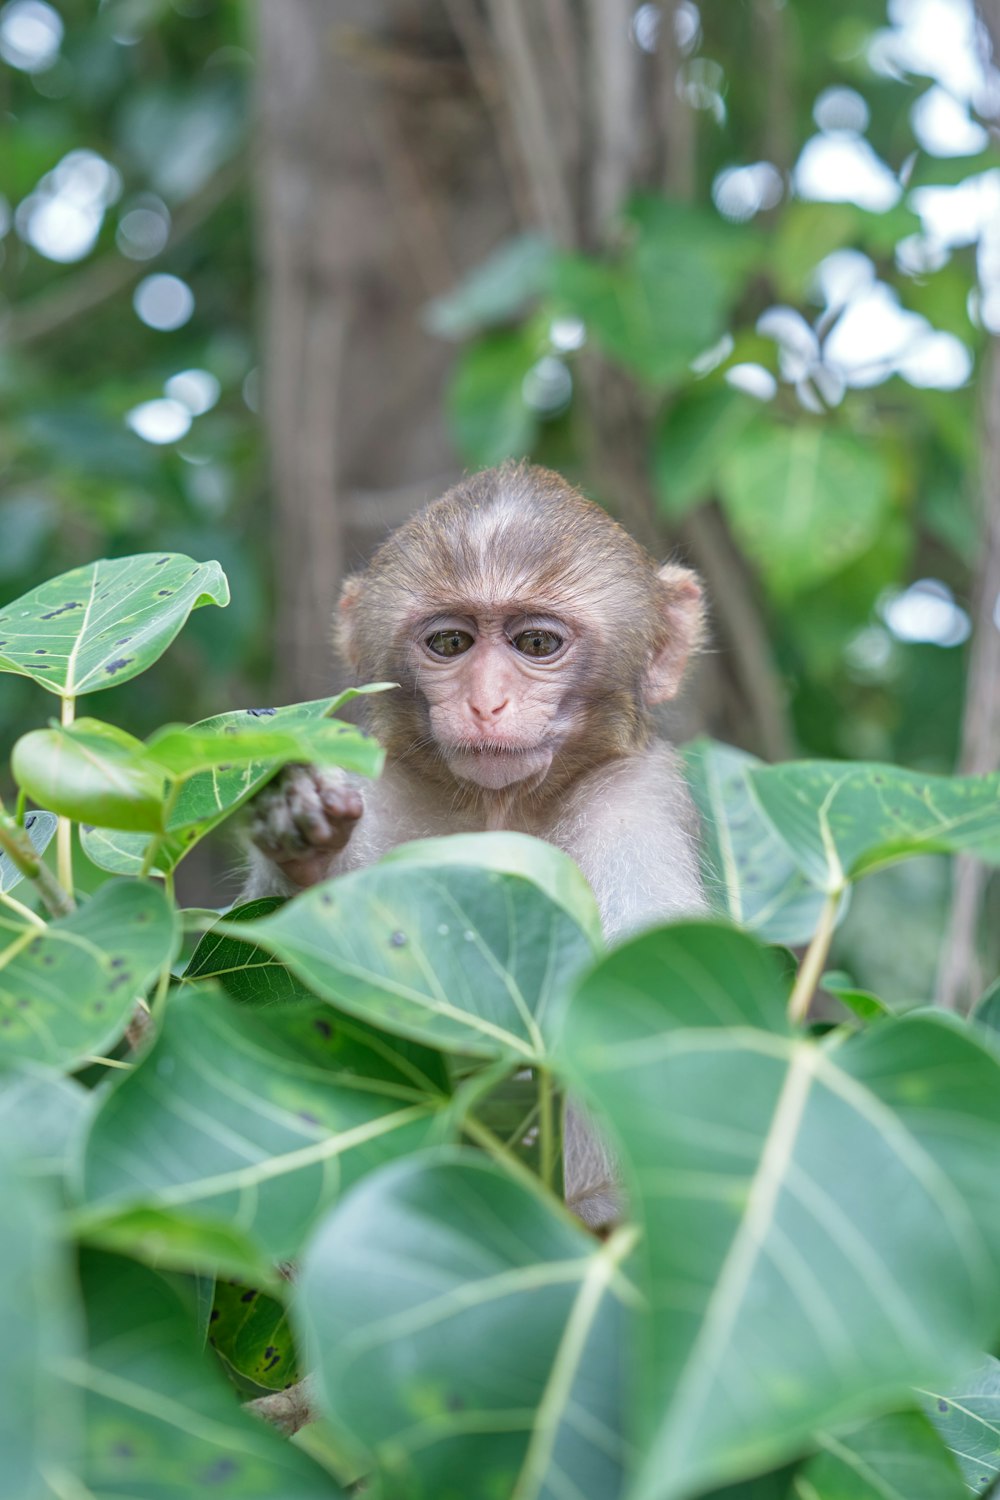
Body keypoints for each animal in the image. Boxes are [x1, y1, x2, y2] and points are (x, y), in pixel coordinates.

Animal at [245, 459, 707, 1230]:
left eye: (537, 644)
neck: (499, 806)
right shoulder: (381, 786)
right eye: (451, 644)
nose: (486, 702)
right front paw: (303, 841)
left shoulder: (637, 804)